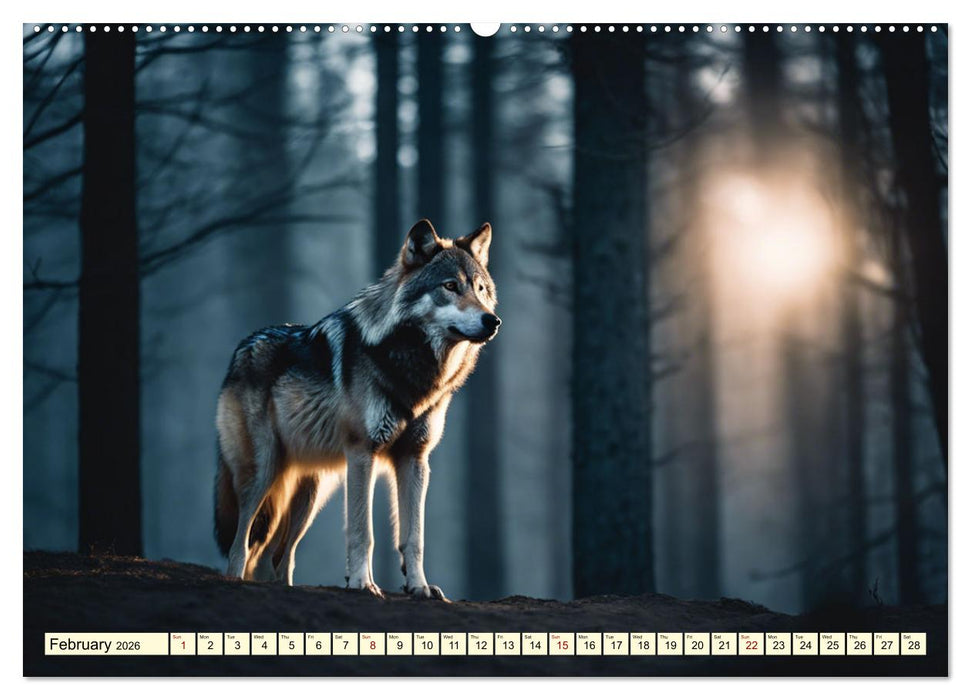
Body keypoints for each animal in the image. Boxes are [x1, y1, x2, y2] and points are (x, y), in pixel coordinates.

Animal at [214, 219, 499, 600]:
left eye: (480, 289)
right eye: (450, 286)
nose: (492, 320)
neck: (412, 370)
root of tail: (241, 349)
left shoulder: (415, 458)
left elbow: (414, 537)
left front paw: (419, 586)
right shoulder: (363, 452)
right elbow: (363, 532)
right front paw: (363, 583)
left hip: (310, 495)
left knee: (277, 556)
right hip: (264, 472)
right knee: (241, 545)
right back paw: (234, 581)